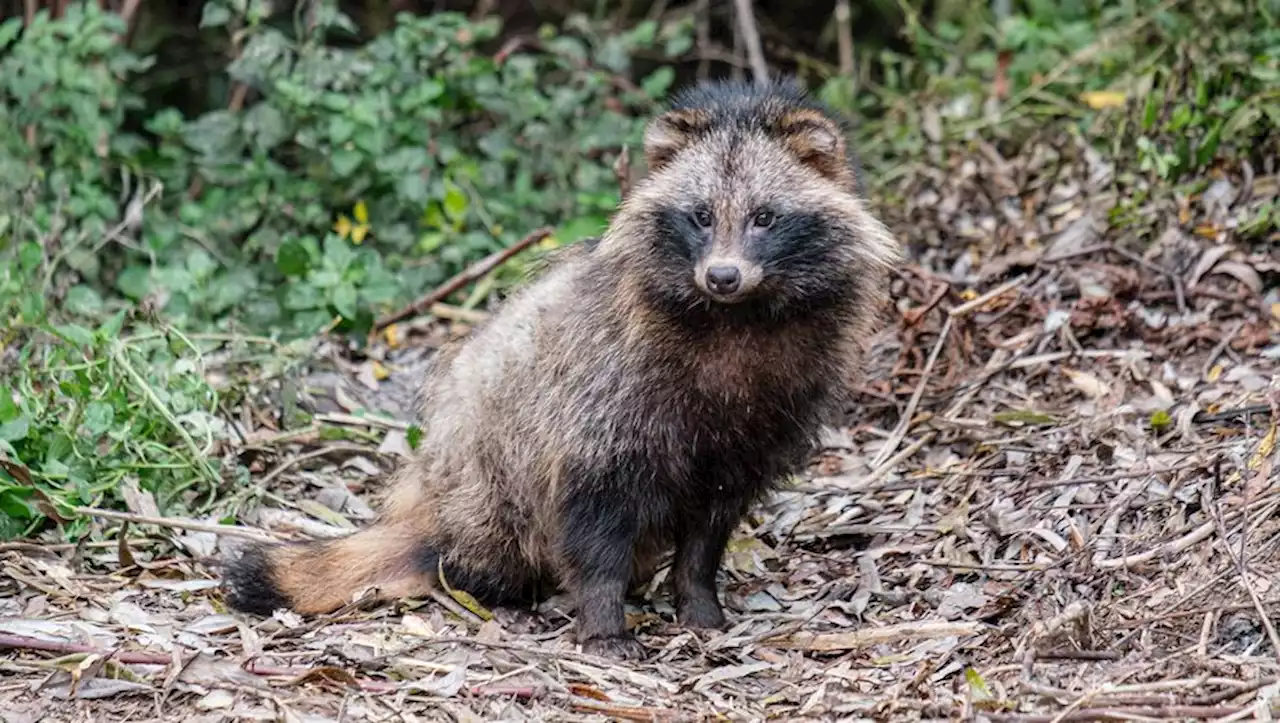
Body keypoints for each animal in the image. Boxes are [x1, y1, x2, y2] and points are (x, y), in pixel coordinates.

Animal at [222, 77, 901, 660]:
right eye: (701, 215)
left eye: (765, 217)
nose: (723, 275)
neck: (738, 318)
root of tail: (428, 509)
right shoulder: (601, 399)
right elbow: (593, 518)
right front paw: (603, 622)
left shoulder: (764, 415)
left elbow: (711, 522)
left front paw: (698, 598)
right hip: (485, 479)